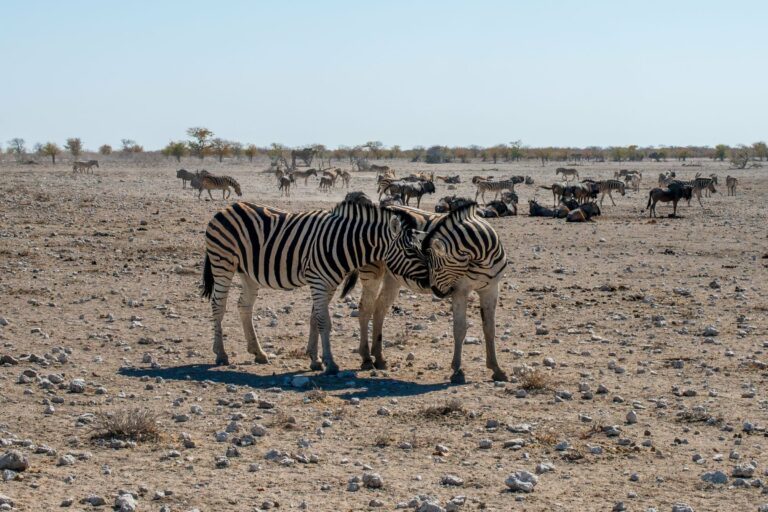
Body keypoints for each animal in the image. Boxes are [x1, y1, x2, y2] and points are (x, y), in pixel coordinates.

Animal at [201, 200, 414, 373]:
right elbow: (324, 322)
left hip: (248, 272)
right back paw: (221, 354)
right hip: (223, 263)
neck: (342, 242)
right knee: (218, 306)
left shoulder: (329, 284)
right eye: (410, 251)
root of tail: (227, 208)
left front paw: (315, 359)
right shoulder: (319, 281)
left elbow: (315, 318)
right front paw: (330, 363)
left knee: (244, 306)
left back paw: (258, 352)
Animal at [341, 201, 508, 383]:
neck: (482, 258)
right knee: (365, 309)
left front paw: (497, 369)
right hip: (372, 273)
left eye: (436, 267)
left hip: (393, 277)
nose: (435, 290)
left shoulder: (491, 289)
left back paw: (379, 358)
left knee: (379, 309)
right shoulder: (460, 291)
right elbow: (460, 328)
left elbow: (490, 328)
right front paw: (457, 371)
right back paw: (366, 358)